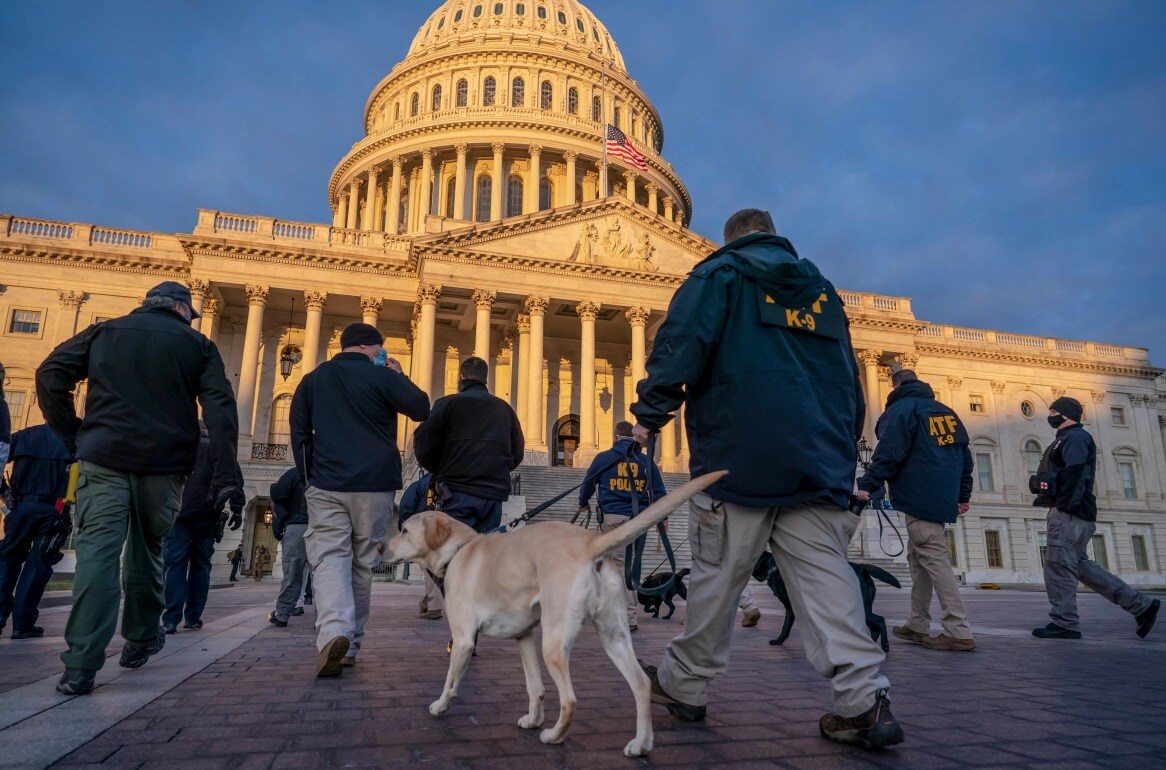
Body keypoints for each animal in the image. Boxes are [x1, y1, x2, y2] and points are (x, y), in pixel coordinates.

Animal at [387, 468, 722, 756]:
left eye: (403, 529)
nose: (380, 549)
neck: (460, 549)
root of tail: (591, 542)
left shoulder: (464, 639)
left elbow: (451, 681)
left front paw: (440, 706)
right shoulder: (524, 638)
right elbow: (534, 686)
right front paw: (533, 719)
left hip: (554, 642)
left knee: (570, 699)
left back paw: (554, 736)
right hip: (613, 637)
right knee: (640, 684)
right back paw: (640, 744)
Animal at [750, 550, 904, 653]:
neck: (774, 567)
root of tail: (861, 567)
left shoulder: (793, 607)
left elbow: (786, 626)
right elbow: (788, 627)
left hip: (862, 608)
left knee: (880, 620)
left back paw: (885, 646)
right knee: (874, 627)